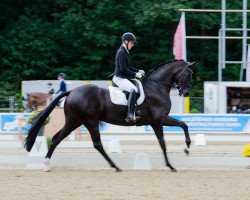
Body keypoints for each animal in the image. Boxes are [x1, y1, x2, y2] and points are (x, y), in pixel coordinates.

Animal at [24, 59, 197, 172]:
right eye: (188, 75)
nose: (186, 93)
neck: (157, 88)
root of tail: (71, 91)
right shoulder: (159, 119)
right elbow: (174, 133)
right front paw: (181, 154)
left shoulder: (157, 122)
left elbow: (172, 134)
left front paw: (178, 158)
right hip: (90, 121)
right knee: (97, 144)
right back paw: (115, 166)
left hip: (74, 121)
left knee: (56, 138)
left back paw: (46, 164)